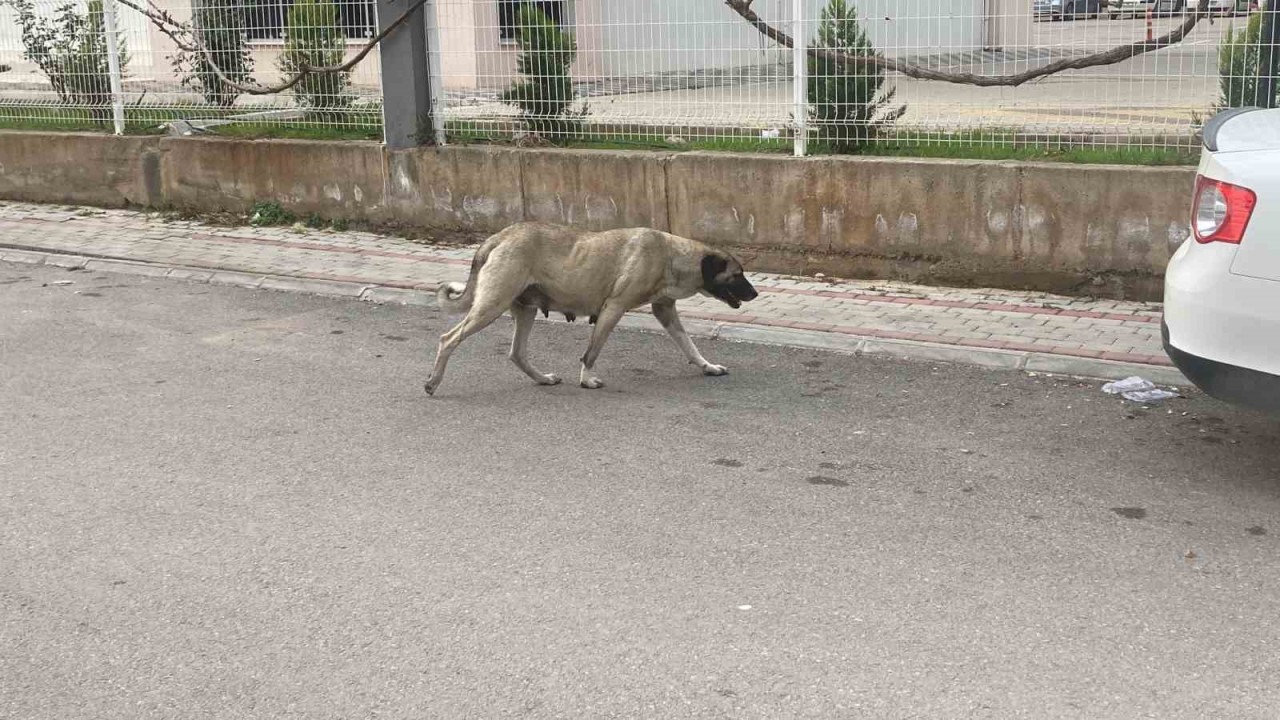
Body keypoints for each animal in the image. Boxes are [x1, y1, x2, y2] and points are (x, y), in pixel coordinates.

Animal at [424, 221, 752, 394]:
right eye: (737, 275)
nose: (755, 293)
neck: (672, 255)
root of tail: (500, 235)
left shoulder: (665, 311)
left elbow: (689, 346)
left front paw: (707, 366)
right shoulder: (613, 309)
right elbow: (591, 352)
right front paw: (586, 379)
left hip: (525, 309)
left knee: (517, 353)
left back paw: (542, 379)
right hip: (491, 306)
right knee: (447, 339)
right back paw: (433, 382)